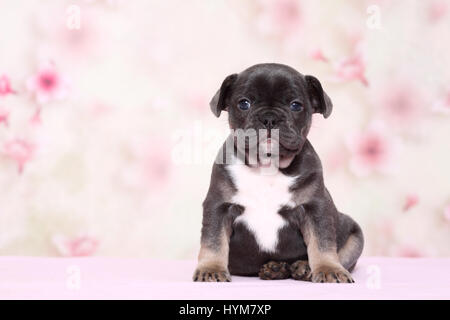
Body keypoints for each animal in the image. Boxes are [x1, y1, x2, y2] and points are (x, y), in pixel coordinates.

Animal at [192, 63, 362, 284]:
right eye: (244, 104)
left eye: (296, 105)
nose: (269, 118)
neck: (267, 165)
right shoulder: (218, 206)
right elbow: (213, 241)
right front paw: (210, 269)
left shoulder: (315, 208)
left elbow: (322, 243)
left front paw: (328, 269)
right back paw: (276, 268)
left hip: (354, 235)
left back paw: (303, 268)